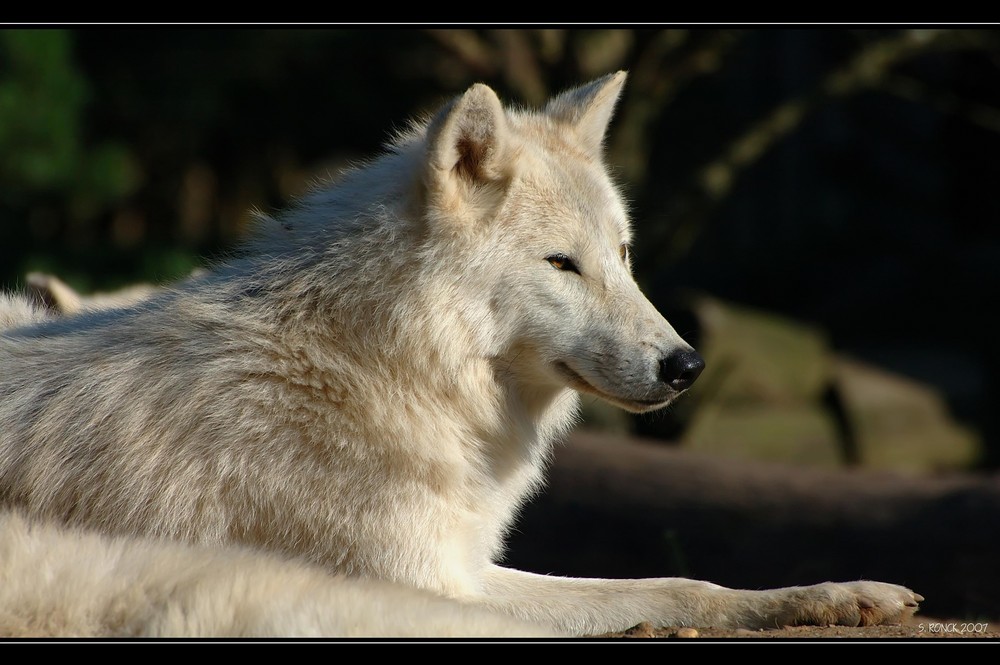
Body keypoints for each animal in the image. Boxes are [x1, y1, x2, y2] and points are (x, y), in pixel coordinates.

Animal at [0, 70, 920, 636]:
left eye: (623, 255)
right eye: (562, 264)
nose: (686, 365)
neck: (381, 371)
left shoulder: (463, 565)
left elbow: (685, 585)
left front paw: (843, 595)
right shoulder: (414, 585)